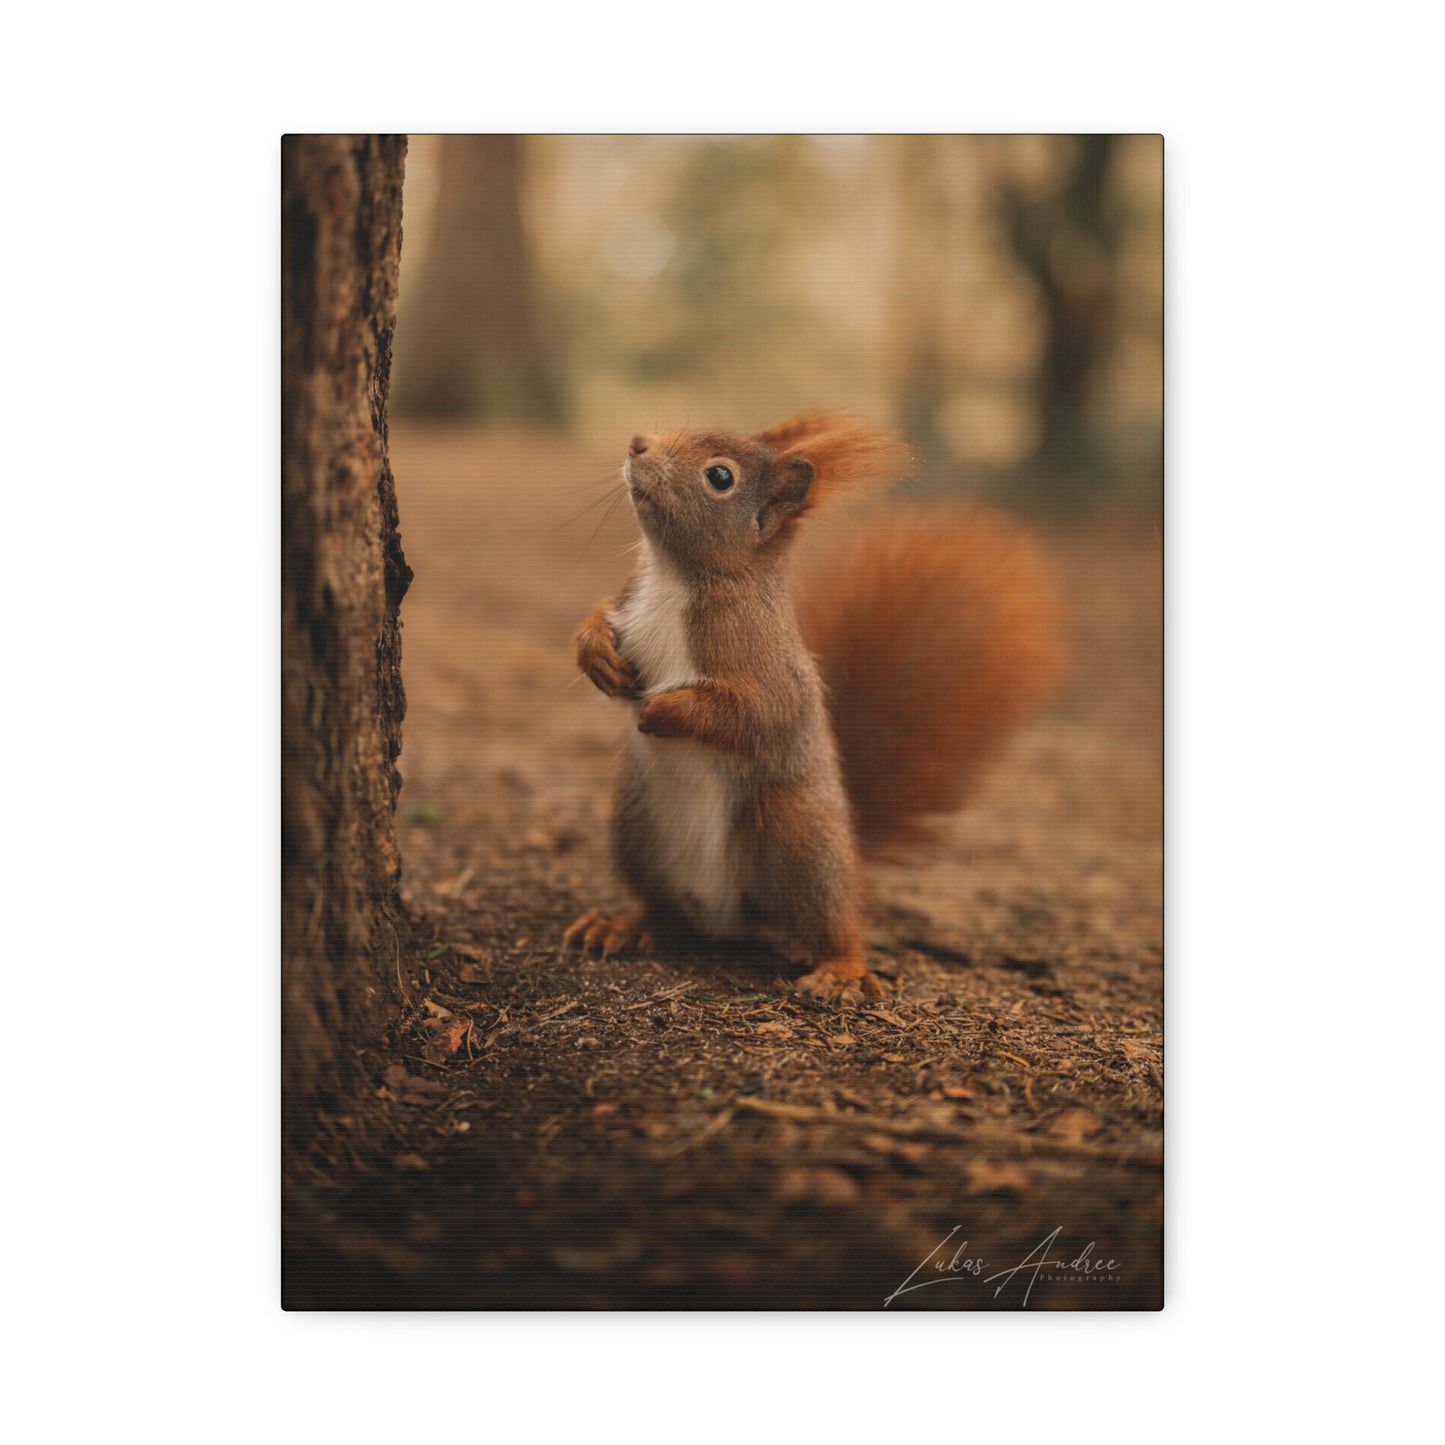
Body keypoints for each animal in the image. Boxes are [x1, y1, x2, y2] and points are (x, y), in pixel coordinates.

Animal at [564, 412, 1067, 1003]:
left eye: (720, 477)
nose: (638, 443)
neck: (673, 578)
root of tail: (723, 919)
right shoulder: (628, 600)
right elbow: (597, 616)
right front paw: (598, 656)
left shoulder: (767, 665)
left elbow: (759, 713)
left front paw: (662, 712)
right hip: (634, 827)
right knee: (663, 911)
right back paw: (622, 924)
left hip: (796, 836)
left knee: (834, 922)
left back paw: (841, 970)